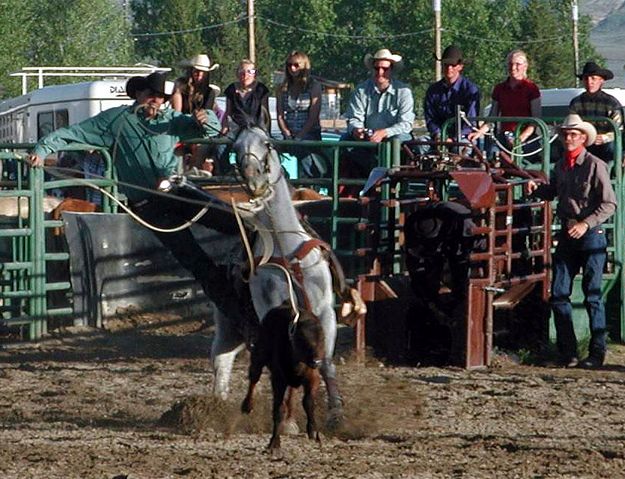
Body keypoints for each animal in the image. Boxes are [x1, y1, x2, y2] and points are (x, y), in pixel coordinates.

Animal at [210, 125, 358, 422]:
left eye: (267, 143)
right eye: (236, 147)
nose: (254, 179)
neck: (286, 248)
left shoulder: (324, 312)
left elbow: (325, 362)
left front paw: (336, 411)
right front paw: (288, 419)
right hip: (229, 322)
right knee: (222, 358)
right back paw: (218, 409)